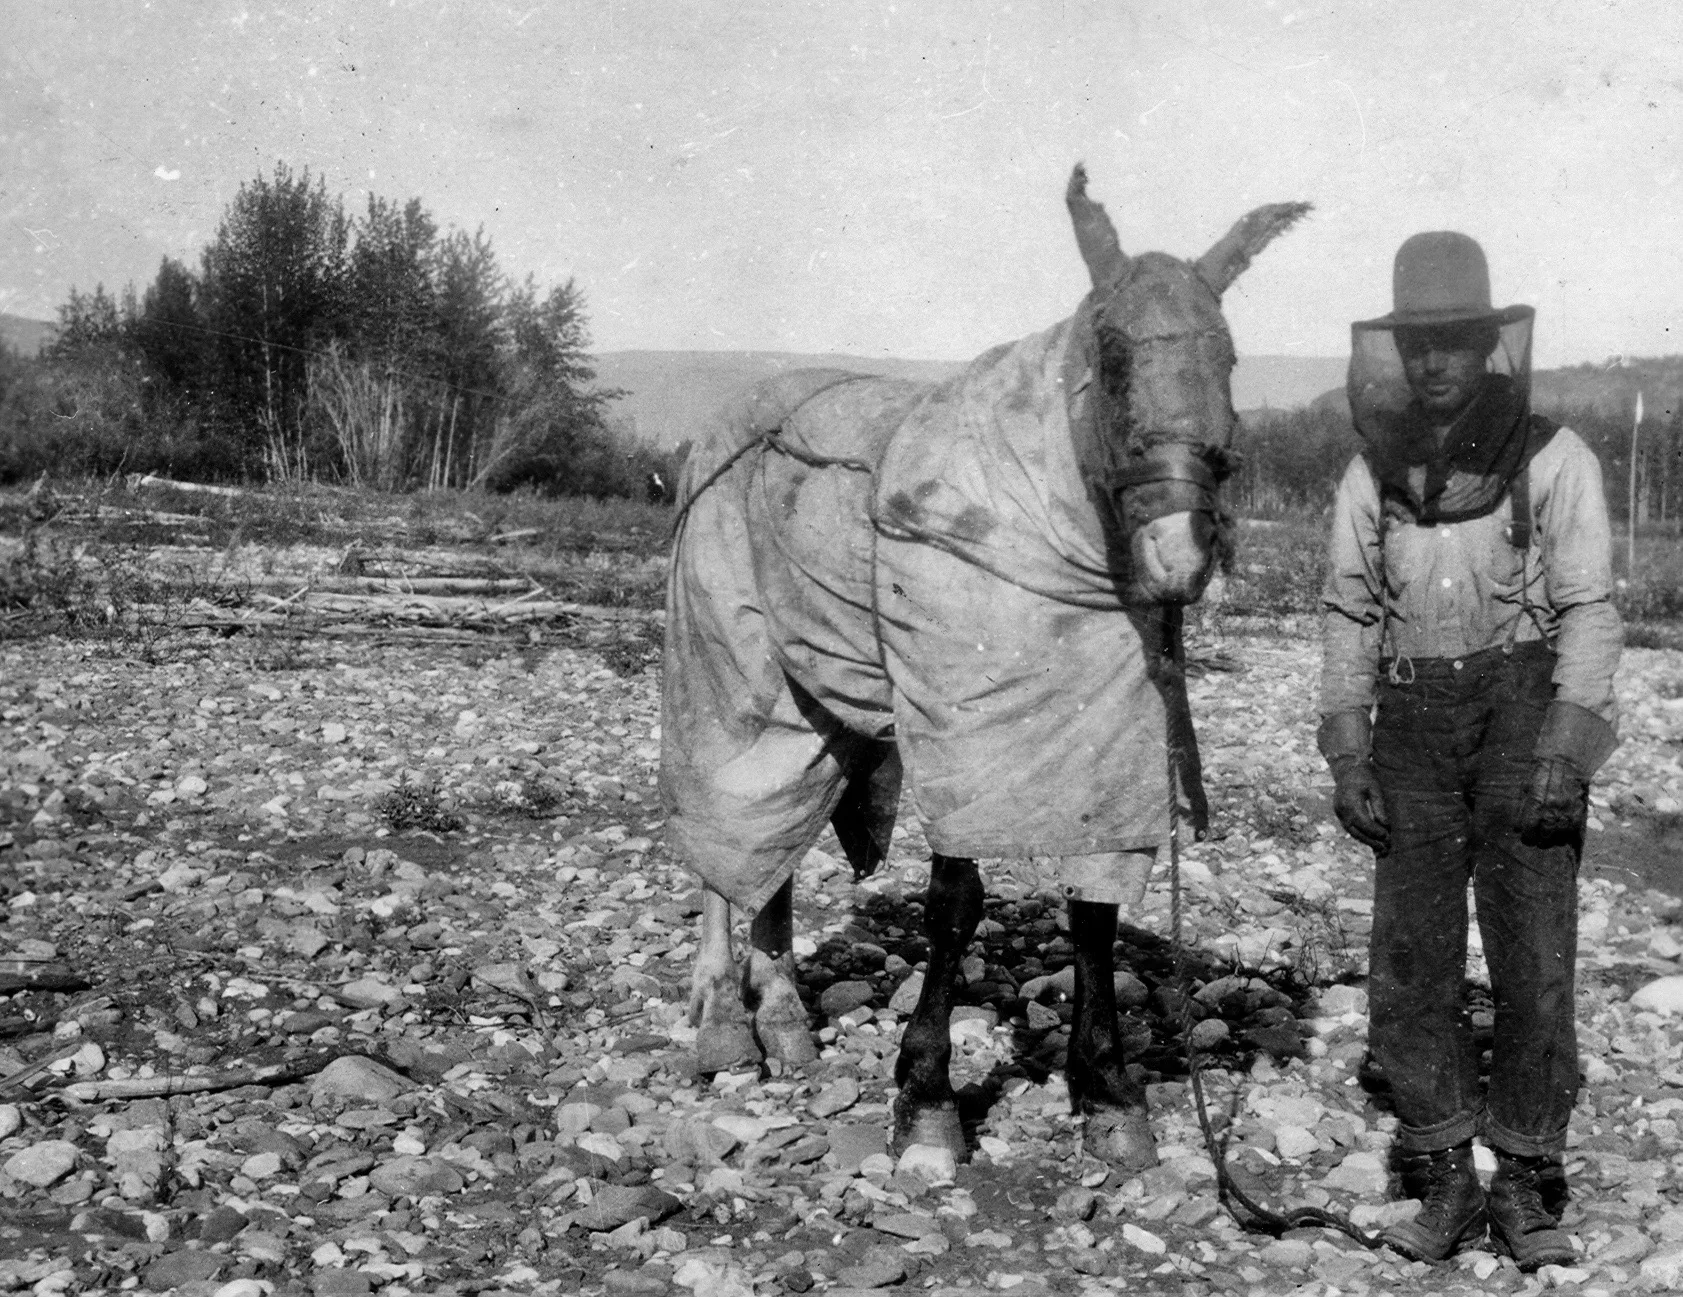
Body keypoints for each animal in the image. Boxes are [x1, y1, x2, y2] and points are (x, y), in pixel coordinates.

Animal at [663, 167, 1306, 1170]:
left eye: (1230, 358)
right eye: (1109, 355)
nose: (1178, 555)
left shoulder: (1102, 757)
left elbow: (1094, 914)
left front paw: (1107, 1090)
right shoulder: (956, 726)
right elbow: (954, 904)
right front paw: (926, 1101)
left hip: (818, 702)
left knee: (775, 842)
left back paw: (784, 1021)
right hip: (727, 663)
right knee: (727, 833)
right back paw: (725, 1025)